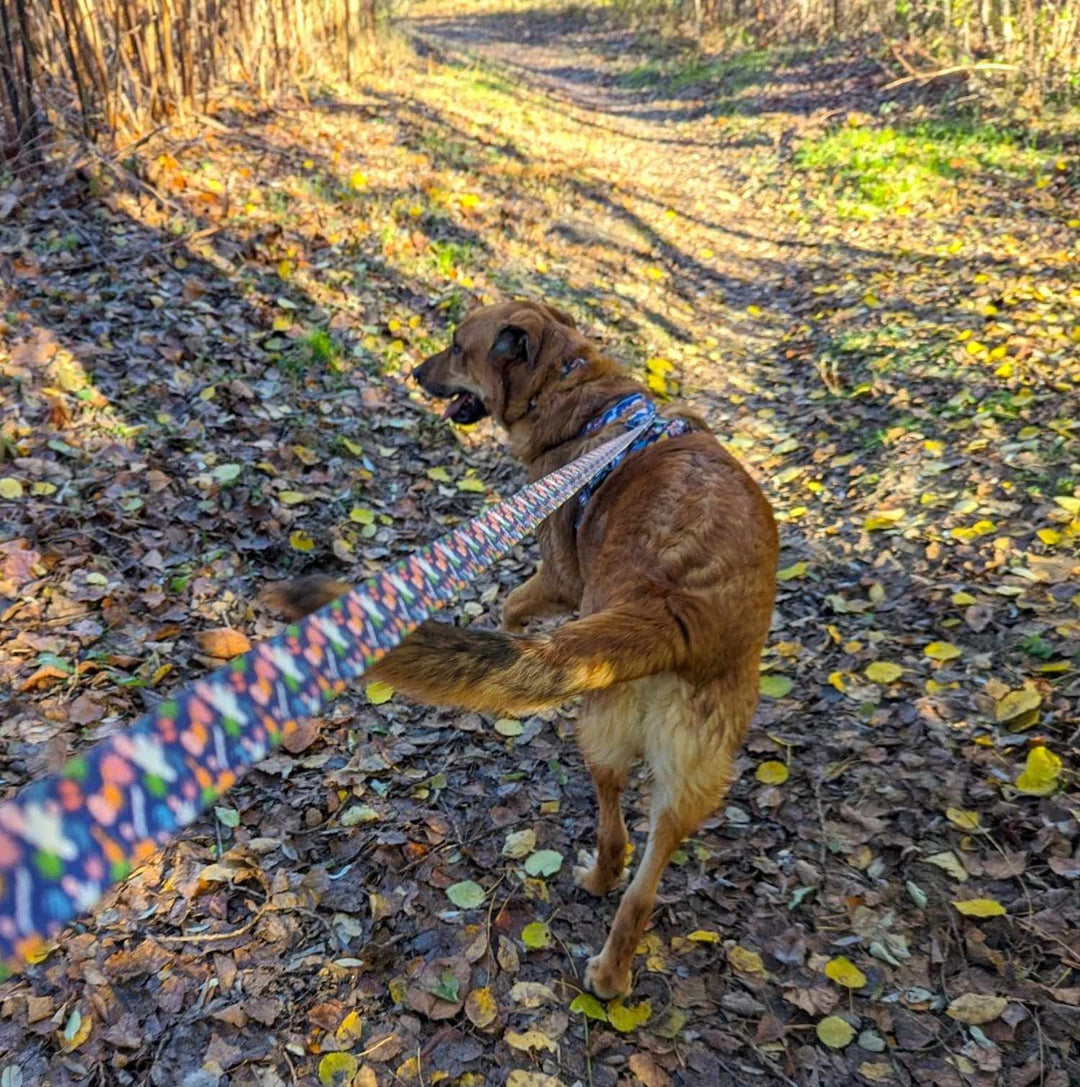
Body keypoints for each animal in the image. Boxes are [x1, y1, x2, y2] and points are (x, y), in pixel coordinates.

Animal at [271, 302, 773, 995]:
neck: (575, 390)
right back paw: (613, 973)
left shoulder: (557, 579)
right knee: (643, 884)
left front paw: (507, 635)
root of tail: (681, 608)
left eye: (457, 346)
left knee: (615, 831)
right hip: (689, 776)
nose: (414, 372)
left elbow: (510, 607)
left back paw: (595, 883)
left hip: (604, 738)